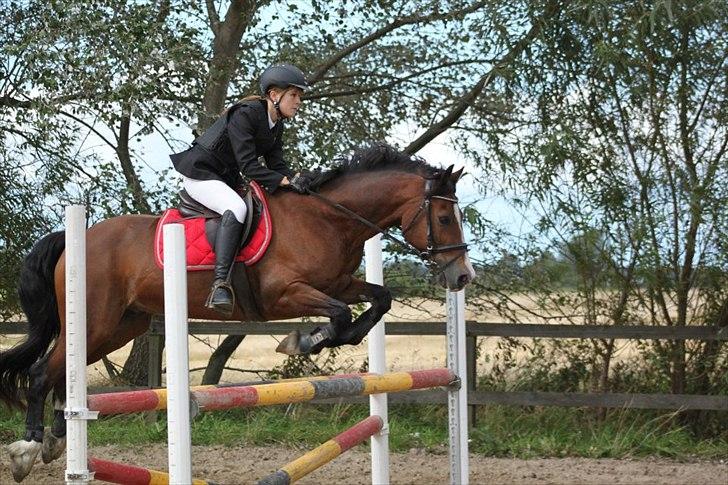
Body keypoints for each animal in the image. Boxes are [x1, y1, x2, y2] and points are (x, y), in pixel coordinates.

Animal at [0, 144, 474, 480]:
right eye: (445, 218)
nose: (462, 276)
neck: (327, 219)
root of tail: (77, 237)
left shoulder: (338, 283)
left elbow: (380, 300)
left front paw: (318, 339)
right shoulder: (286, 294)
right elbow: (340, 316)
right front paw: (303, 340)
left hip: (118, 326)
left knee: (65, 372)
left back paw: (57, 439)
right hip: (96, 321)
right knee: (42, 372)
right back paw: (28, 448)